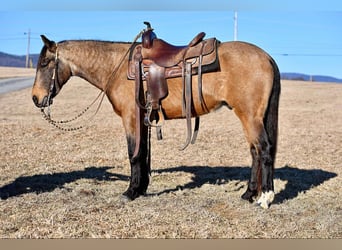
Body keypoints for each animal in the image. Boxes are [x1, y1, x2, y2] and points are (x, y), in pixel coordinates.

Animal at [31, 24, 280, 209]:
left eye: (44, 63)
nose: (36, 98)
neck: (116, 67)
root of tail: (267, 57)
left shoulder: (131, 118)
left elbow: (134, 154)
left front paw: (130, 191)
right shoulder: (143, 119)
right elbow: (143, 153)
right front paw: (140, 188)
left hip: (250, 116)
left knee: (264, 150)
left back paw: (265, 197)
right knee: (255, 152)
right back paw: (249, 194)